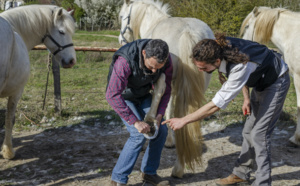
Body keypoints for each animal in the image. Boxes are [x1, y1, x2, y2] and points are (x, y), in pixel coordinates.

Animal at [118, 0, 214, 177]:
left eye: (122, 16)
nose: (121, 40)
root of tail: (188, 32)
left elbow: (166, 106)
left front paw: (166, 140)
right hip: (200, 84)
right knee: (191, 115)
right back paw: (180, 167)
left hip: (164, 75)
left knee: (161, 93)